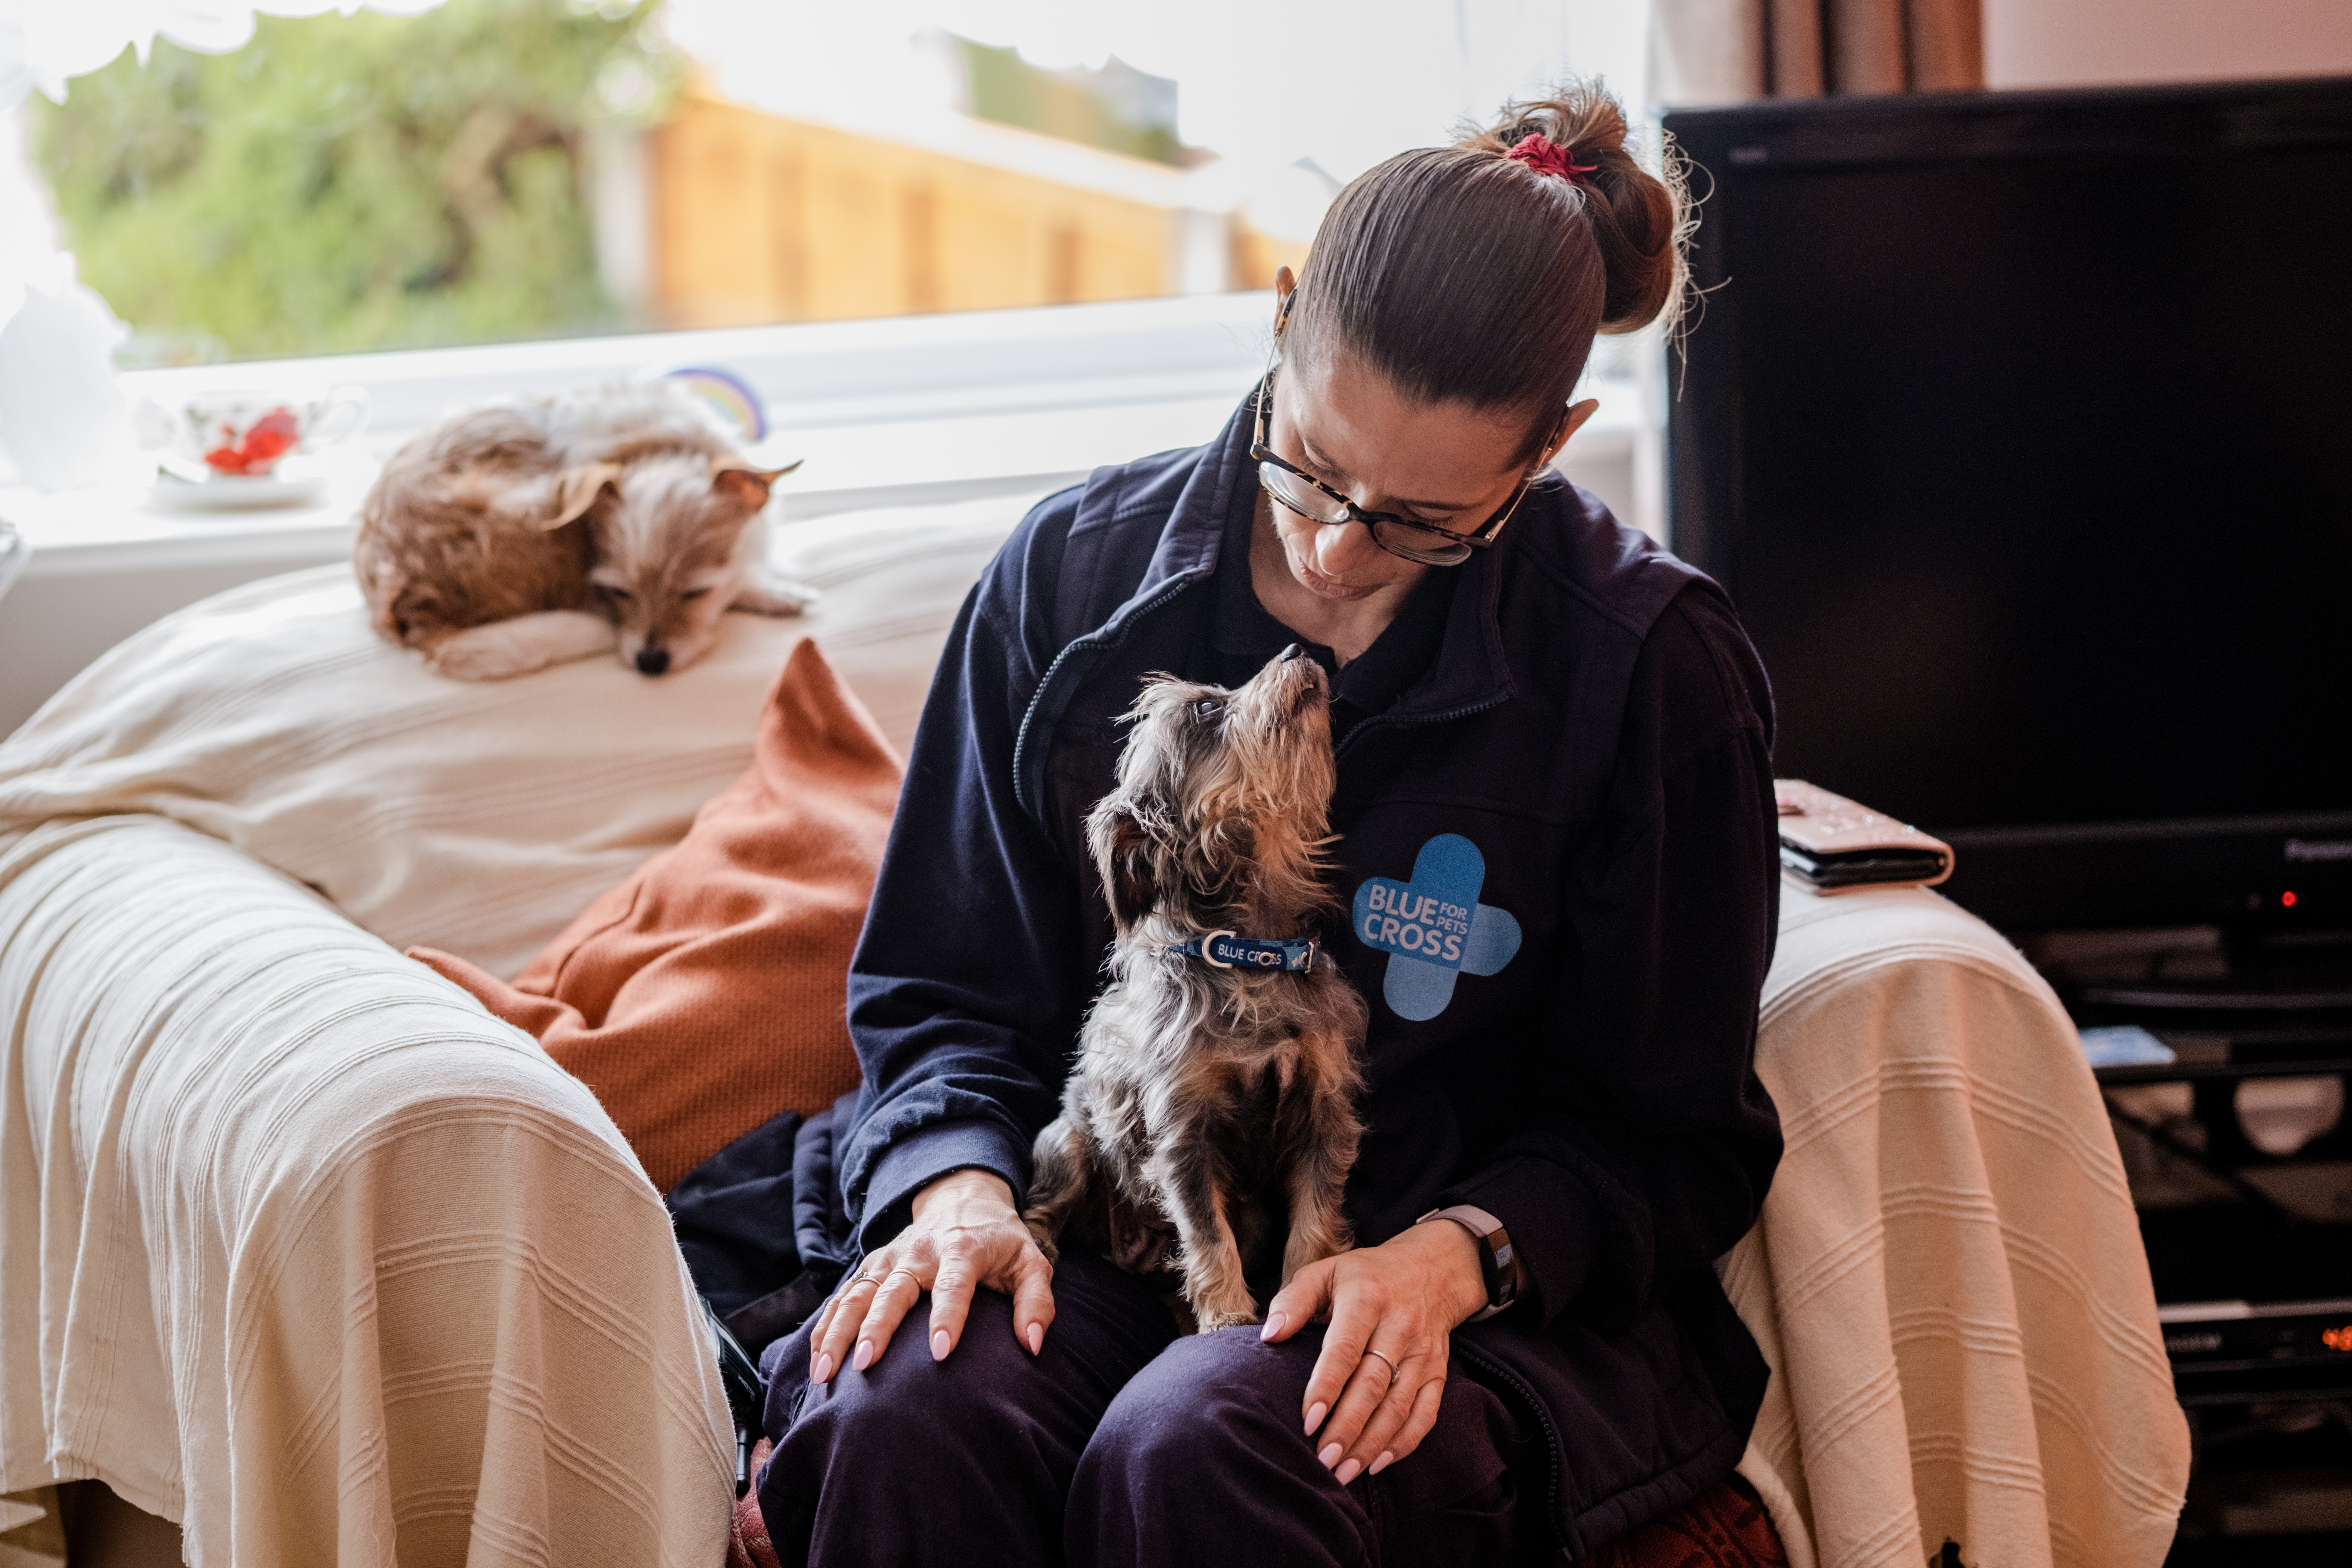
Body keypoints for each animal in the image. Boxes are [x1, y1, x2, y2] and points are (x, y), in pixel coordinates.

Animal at [350, 381, 818, 681]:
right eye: (619, 592)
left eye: (695, 594)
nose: (649, 663)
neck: (650, 448)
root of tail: (411, 613)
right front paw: (769, 590)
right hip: (543, 509)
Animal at [1021, 644, 1374, 1335]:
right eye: (1207, 711)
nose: (1297, 649)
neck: (1253, 958)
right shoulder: (1185, 1135)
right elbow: (1208, 1236)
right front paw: (1228, 1316)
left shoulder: (1324, 1115)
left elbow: (1314, 1222)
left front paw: (1301, 1294)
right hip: (1070, 1140)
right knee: (1043, 1205)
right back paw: (1040, 1247)